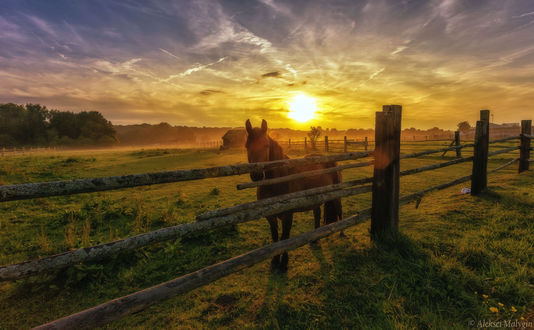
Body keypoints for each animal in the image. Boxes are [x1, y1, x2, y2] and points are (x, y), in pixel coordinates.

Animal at [244, 120, 344, 272]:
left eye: (266, 145)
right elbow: (275, 237)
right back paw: (314, 239)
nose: (257, 175)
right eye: (247, 146)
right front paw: (275, 261)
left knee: (339, 210)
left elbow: (285, 237)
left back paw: (342, 233)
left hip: (335, 196)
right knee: (317, 214)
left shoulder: (288, 215)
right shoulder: (270, 216)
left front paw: (283, 264)